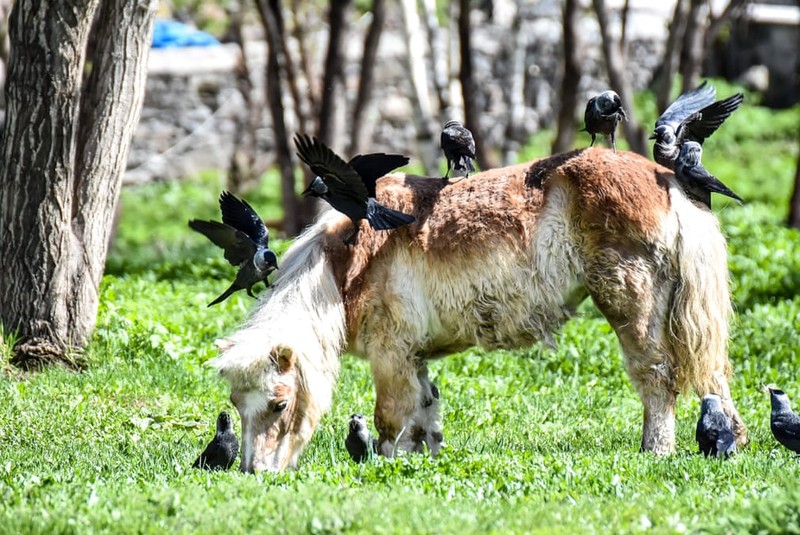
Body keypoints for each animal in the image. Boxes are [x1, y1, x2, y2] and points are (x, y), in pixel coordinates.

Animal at [209, 148, 748, 474]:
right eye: (237, 404)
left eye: (280, 404)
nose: (256, 471)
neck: (344, 267)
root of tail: (667, 181)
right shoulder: (413, 359)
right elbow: (425, 415)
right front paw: (421, 463)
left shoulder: (391, 355)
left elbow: (390, 419)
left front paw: (387, 464)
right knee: (710, 376)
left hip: (631, 304)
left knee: (656, 377)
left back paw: (655, 451)